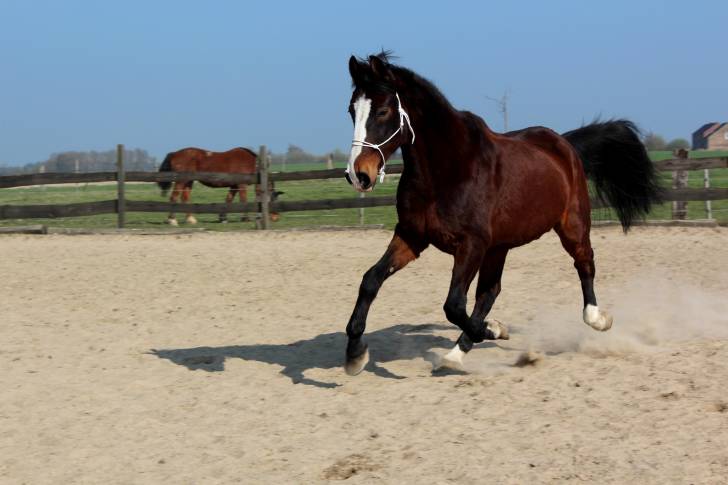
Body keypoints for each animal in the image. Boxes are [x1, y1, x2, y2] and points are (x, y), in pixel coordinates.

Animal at [342, 54, 660, 376]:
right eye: (351, 110)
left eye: (383, 111)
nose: (359, 175)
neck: (448, 170)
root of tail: (563, 144)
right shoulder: (412, 236)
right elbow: (371, 280)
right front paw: (355, 355)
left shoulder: (471, 244)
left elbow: (453, 305)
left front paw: (494, 329)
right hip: (500, 246)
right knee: (490, 291)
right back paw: (455, 355)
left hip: (571, 225)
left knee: (584, 263)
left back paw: (597, 319)